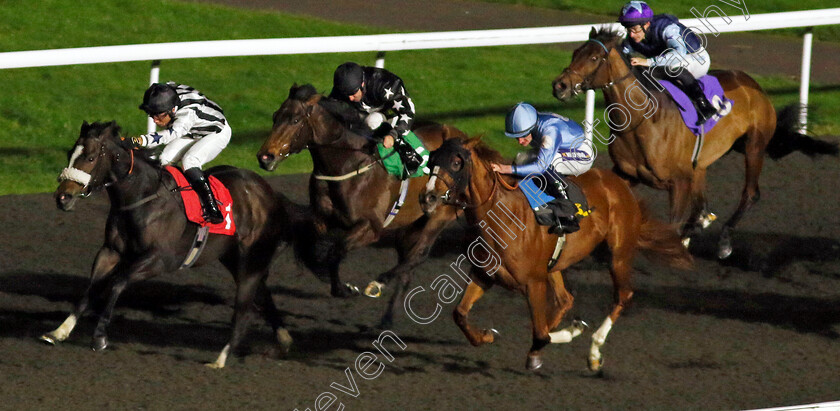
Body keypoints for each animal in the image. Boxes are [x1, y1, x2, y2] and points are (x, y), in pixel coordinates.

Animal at [42, 120, 320, 368]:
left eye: (89, 158)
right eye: (69, 154)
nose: (62, 197)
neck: (142, 197)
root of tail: (272, 194)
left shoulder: (160, 260)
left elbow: (117, 284)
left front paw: (99, 338)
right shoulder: (110, 252)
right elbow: (91, 288)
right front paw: (59, 331)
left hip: (250, 258)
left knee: (246, 308)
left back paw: (221, 359)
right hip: (235, 258)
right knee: (263, 294)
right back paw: (282, 340)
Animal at [258, 84, 466, 328]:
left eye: (295, 120)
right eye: (275, 117)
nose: (265, 157)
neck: (348, 164)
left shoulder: (370, 227)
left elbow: (335, 250)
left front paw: (345, 289)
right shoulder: (322, 219)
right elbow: (312, 251)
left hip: (438, 215)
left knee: (418, 255)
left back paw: (380, 289)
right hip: (409, 225)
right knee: (407, 264)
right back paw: (386, 317)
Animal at [418, 138, 688, 374]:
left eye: (456, 162)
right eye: (431, 159)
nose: (427, 197)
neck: (500, 217)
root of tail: (620, 184)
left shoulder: (533, 282)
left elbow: (540, 334)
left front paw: (541, 351)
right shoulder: (484, 274)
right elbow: (460, 313)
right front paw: (485, 336)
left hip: (618, 254)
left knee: (622, 296)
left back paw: (593, 352)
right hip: (556, 265)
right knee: (565, 299)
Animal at [556, 27, 836, 260]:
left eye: (594, 58)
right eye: (575, 52)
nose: (559, 85)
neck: (642, 120)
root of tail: (751, 82)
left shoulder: (678, 182)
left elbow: (674, 223)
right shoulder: (627, 174)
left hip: (754, 146)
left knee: (750, 194)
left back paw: (723, 242)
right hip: (704, 163)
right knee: (703, 203)